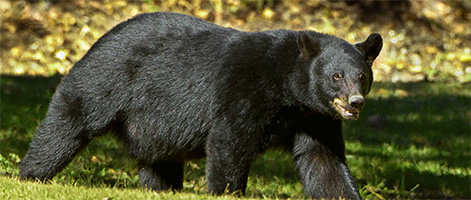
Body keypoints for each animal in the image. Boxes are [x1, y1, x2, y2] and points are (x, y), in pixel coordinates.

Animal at [19, 12, 384, 198]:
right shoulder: (245, 90)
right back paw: (31, 173)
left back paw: (161, 188)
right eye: (336, 75)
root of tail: (101, 38)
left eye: (362, 76)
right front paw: (228, 192)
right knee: (69, 121)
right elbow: (230, 142)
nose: (355, 102)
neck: (288, 89)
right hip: (106, 79)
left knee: (158, 159)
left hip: (153, 124)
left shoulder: (314, 116)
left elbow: (323, 159)